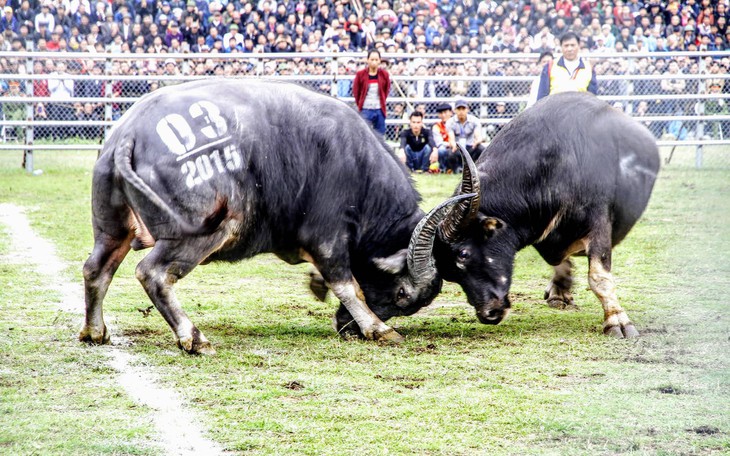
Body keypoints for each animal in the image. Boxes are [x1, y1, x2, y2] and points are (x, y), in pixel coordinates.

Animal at [81, 80, 472, 354]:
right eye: (403, 295)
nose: (345, 327)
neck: (357, 167)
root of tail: (130, 134)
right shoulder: (328, 237)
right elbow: (347, 285)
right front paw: (379, 328)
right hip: (203, 231)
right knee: (153, 273)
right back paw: (194, 338)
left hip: (111, 229)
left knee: (96, 269)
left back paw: (95, 331)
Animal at [432, 92, 660, 336]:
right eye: (448, 273)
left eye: (463, 254)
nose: (488, 314)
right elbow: (555, 259)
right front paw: (560, 287)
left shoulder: (599, 223)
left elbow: (598, 277)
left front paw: (617, 320)